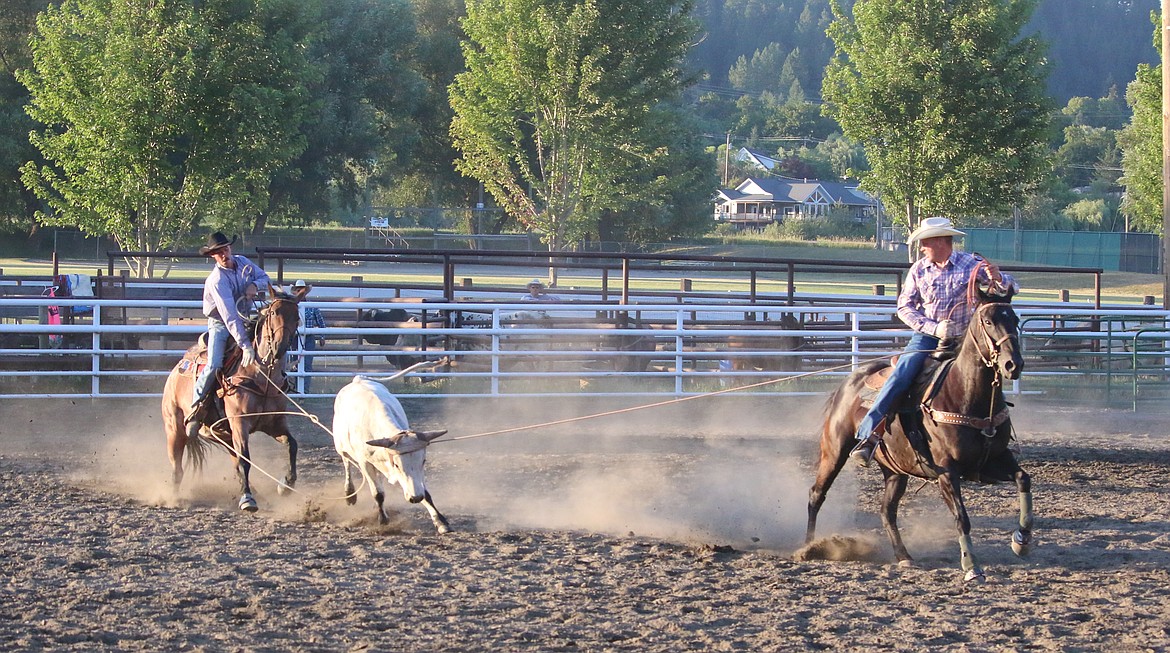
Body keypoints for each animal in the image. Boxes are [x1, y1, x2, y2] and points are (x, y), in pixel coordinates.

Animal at [162, 284, 306, 514]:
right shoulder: (240, 423)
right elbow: (245, 461)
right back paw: (173, 499)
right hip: (174, 428)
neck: (262, 379)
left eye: (296, 316)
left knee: (234, 460)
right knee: (177, 468)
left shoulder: (274, 423)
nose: (280, 348)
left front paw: (285, 485)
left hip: (223, 434)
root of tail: (177, 369)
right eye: (274, 313)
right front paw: (247, 500)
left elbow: (292, 445)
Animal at [334, 376, 456, 535]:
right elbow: (378, 493)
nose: (415, 498)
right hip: (340, 446)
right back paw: (350, 493)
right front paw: (383, 520)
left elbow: (426, 494)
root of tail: (358, 379)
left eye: (423, 461)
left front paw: (440, 522)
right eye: (397, 464)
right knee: (346, 462)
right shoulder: (365, 463)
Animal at [809, 286, 1029, 582]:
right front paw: (971, 565)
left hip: (895, 470)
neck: (967, 395)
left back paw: (904, 556)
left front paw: (1021, 541)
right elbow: (961, 518)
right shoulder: (947, 472)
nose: (1012, 364)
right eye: (988, 321)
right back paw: (808, 546)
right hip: (835, 450)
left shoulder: (992, 461)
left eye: (1014, 319)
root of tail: (849, 382)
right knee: (816, 495)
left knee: (887, 511)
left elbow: (1023, 479)